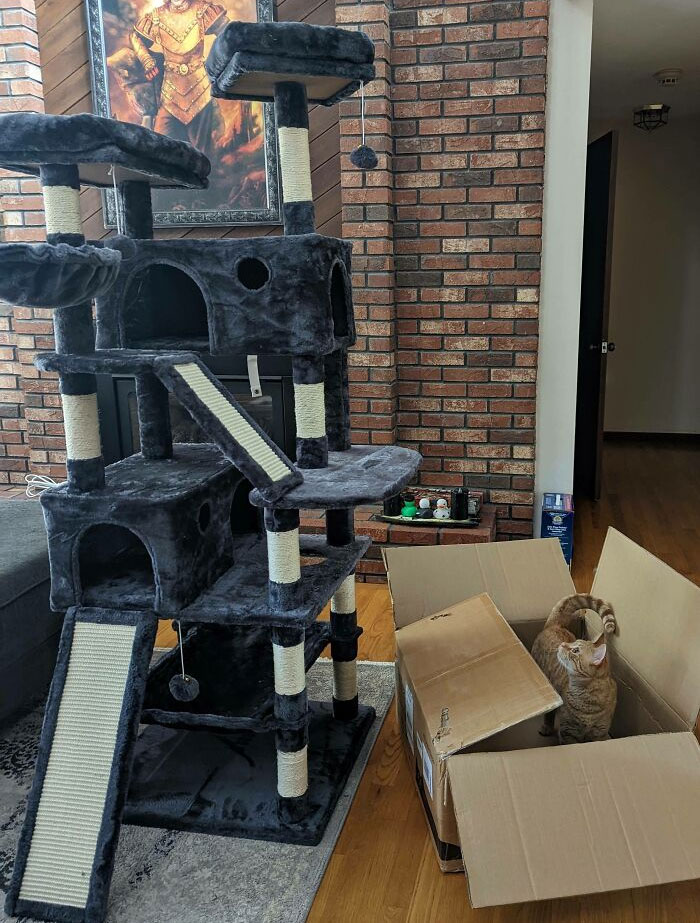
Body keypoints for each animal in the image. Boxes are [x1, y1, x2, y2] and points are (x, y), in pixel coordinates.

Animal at [532, 600, 616, 744]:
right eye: (573, 642)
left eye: (575, 650)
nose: (562, 644)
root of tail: (555, 625)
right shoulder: (568, 732)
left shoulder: (599, 734)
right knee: (549, 713)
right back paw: (546, 727)